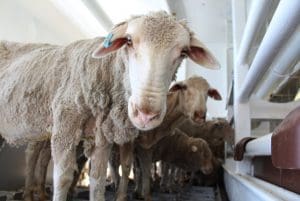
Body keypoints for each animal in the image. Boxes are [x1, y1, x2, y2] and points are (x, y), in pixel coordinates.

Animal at [0, 11, 220, 201]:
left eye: (184, 52)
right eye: (129, 41)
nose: (146, 115)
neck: (105, 73)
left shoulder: (102, 136)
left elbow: (97, 179)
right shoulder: (65, 127)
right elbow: (63, 178)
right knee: (33, 155)